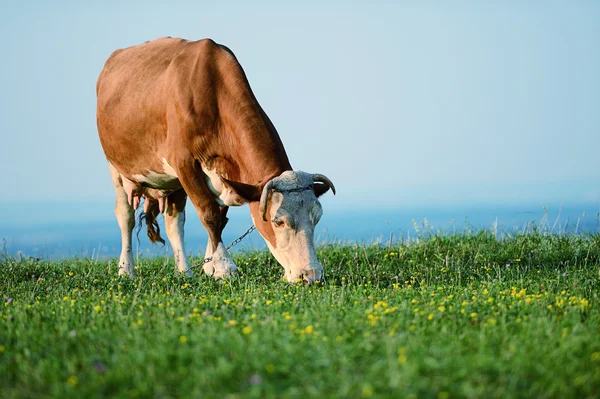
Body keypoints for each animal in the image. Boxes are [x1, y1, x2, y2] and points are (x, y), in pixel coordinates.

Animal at [96, 36, 336, 282]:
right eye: (279, 221)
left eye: (317, 218)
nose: (311, 275)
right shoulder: (184, 163)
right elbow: (209, 215)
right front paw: (225, 267)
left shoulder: (225, 179)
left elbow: (220, 220)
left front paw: (210, 267)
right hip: (117, 166)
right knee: (126, 216)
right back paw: (126, 270)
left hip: (173, 182)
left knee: (174, 222)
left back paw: (185, 272)